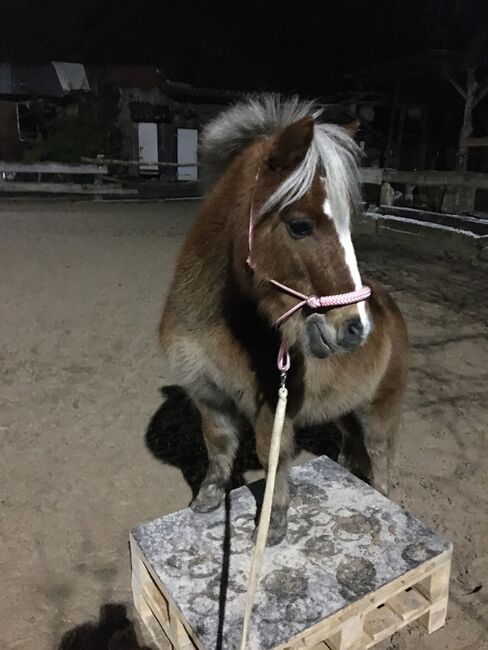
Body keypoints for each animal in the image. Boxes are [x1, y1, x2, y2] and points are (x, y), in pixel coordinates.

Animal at [160, 95, 408, 540]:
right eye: (300, 226)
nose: (354, 328)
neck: (212, 326)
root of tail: (389, 309)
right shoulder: (207, 395)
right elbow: (217, 444)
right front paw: (207, 499)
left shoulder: (271, 411)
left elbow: (271, 457)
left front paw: (273, 523)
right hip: (344, 409)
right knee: (350, 445)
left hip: (380, 408)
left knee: (380, 456)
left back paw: (382, 497)